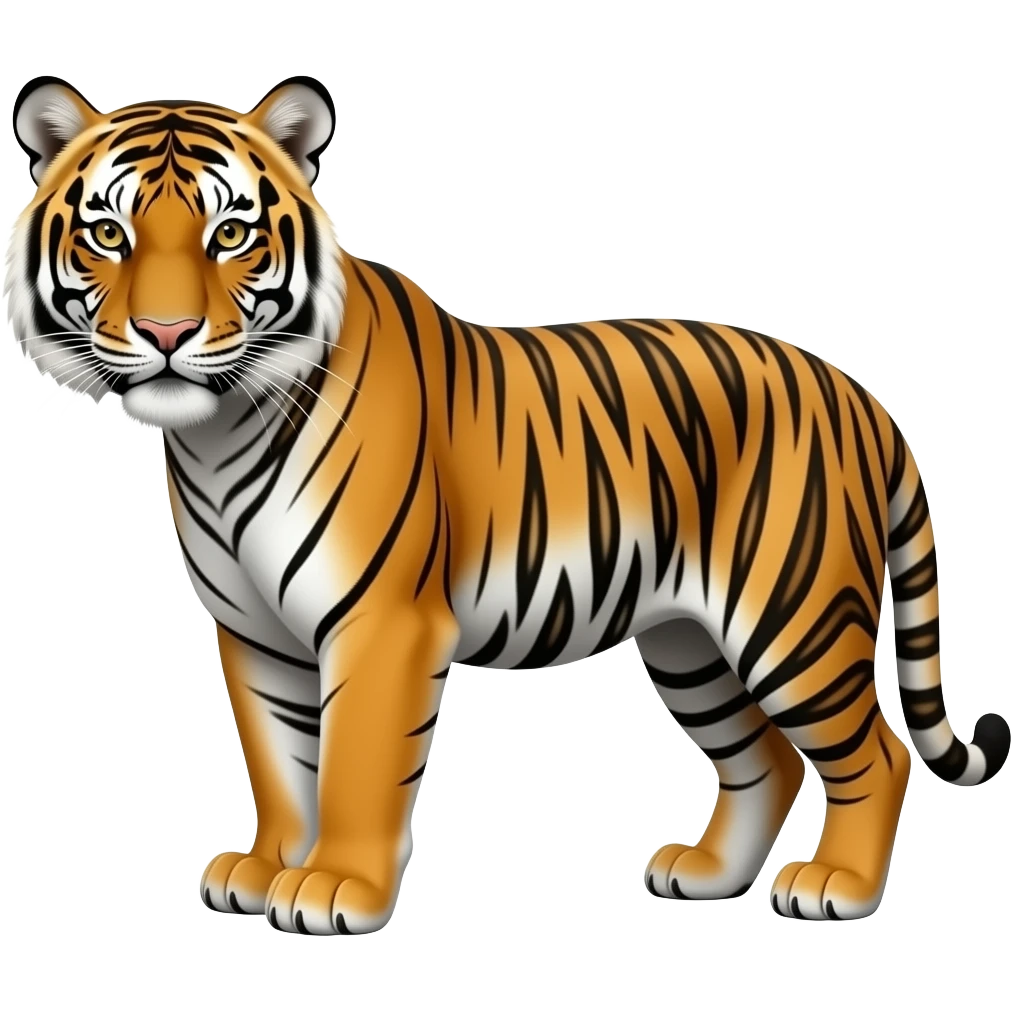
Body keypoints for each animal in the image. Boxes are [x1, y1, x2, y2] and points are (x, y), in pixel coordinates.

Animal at [7, 73, 1008, 936]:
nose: (166, 333)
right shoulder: (254, 633)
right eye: (108, 234)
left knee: (874, 752)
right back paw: (707, 874)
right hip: (689, 642)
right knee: (763, 757)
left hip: (794, 617)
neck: (216, 434)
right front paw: (265, 870)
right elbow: (280, 762)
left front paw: (333, 888)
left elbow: (354, 765)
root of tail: (860, 396)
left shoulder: (380, 624)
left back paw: (838, 887)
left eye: (228, 235)